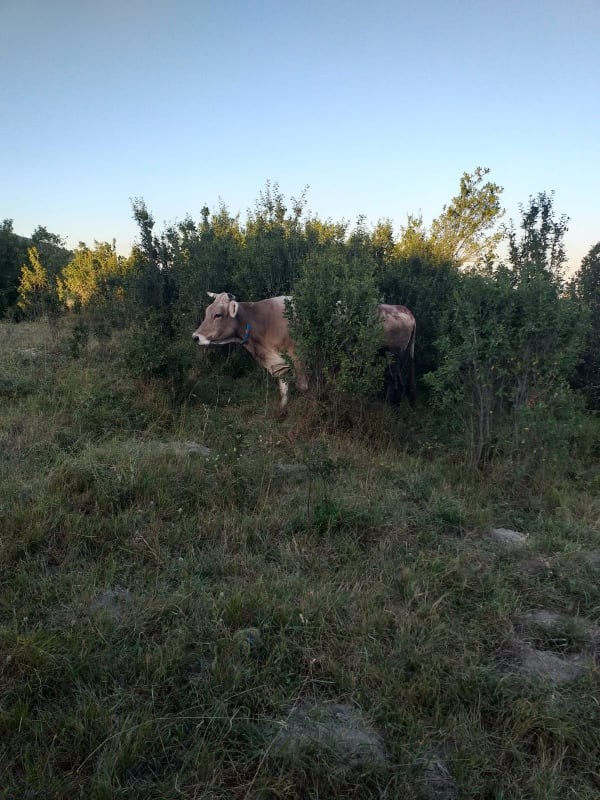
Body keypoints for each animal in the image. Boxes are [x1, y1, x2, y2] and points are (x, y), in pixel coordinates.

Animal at [195, 290, 414, 410]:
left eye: (218, 314)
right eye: (207, 311)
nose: (195, 337)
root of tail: (402, 308)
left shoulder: (298, 357)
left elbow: (303, 387)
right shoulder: (280, 363)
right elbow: (284, 388)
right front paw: (282, 411)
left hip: (394, 356)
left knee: (396, 384)